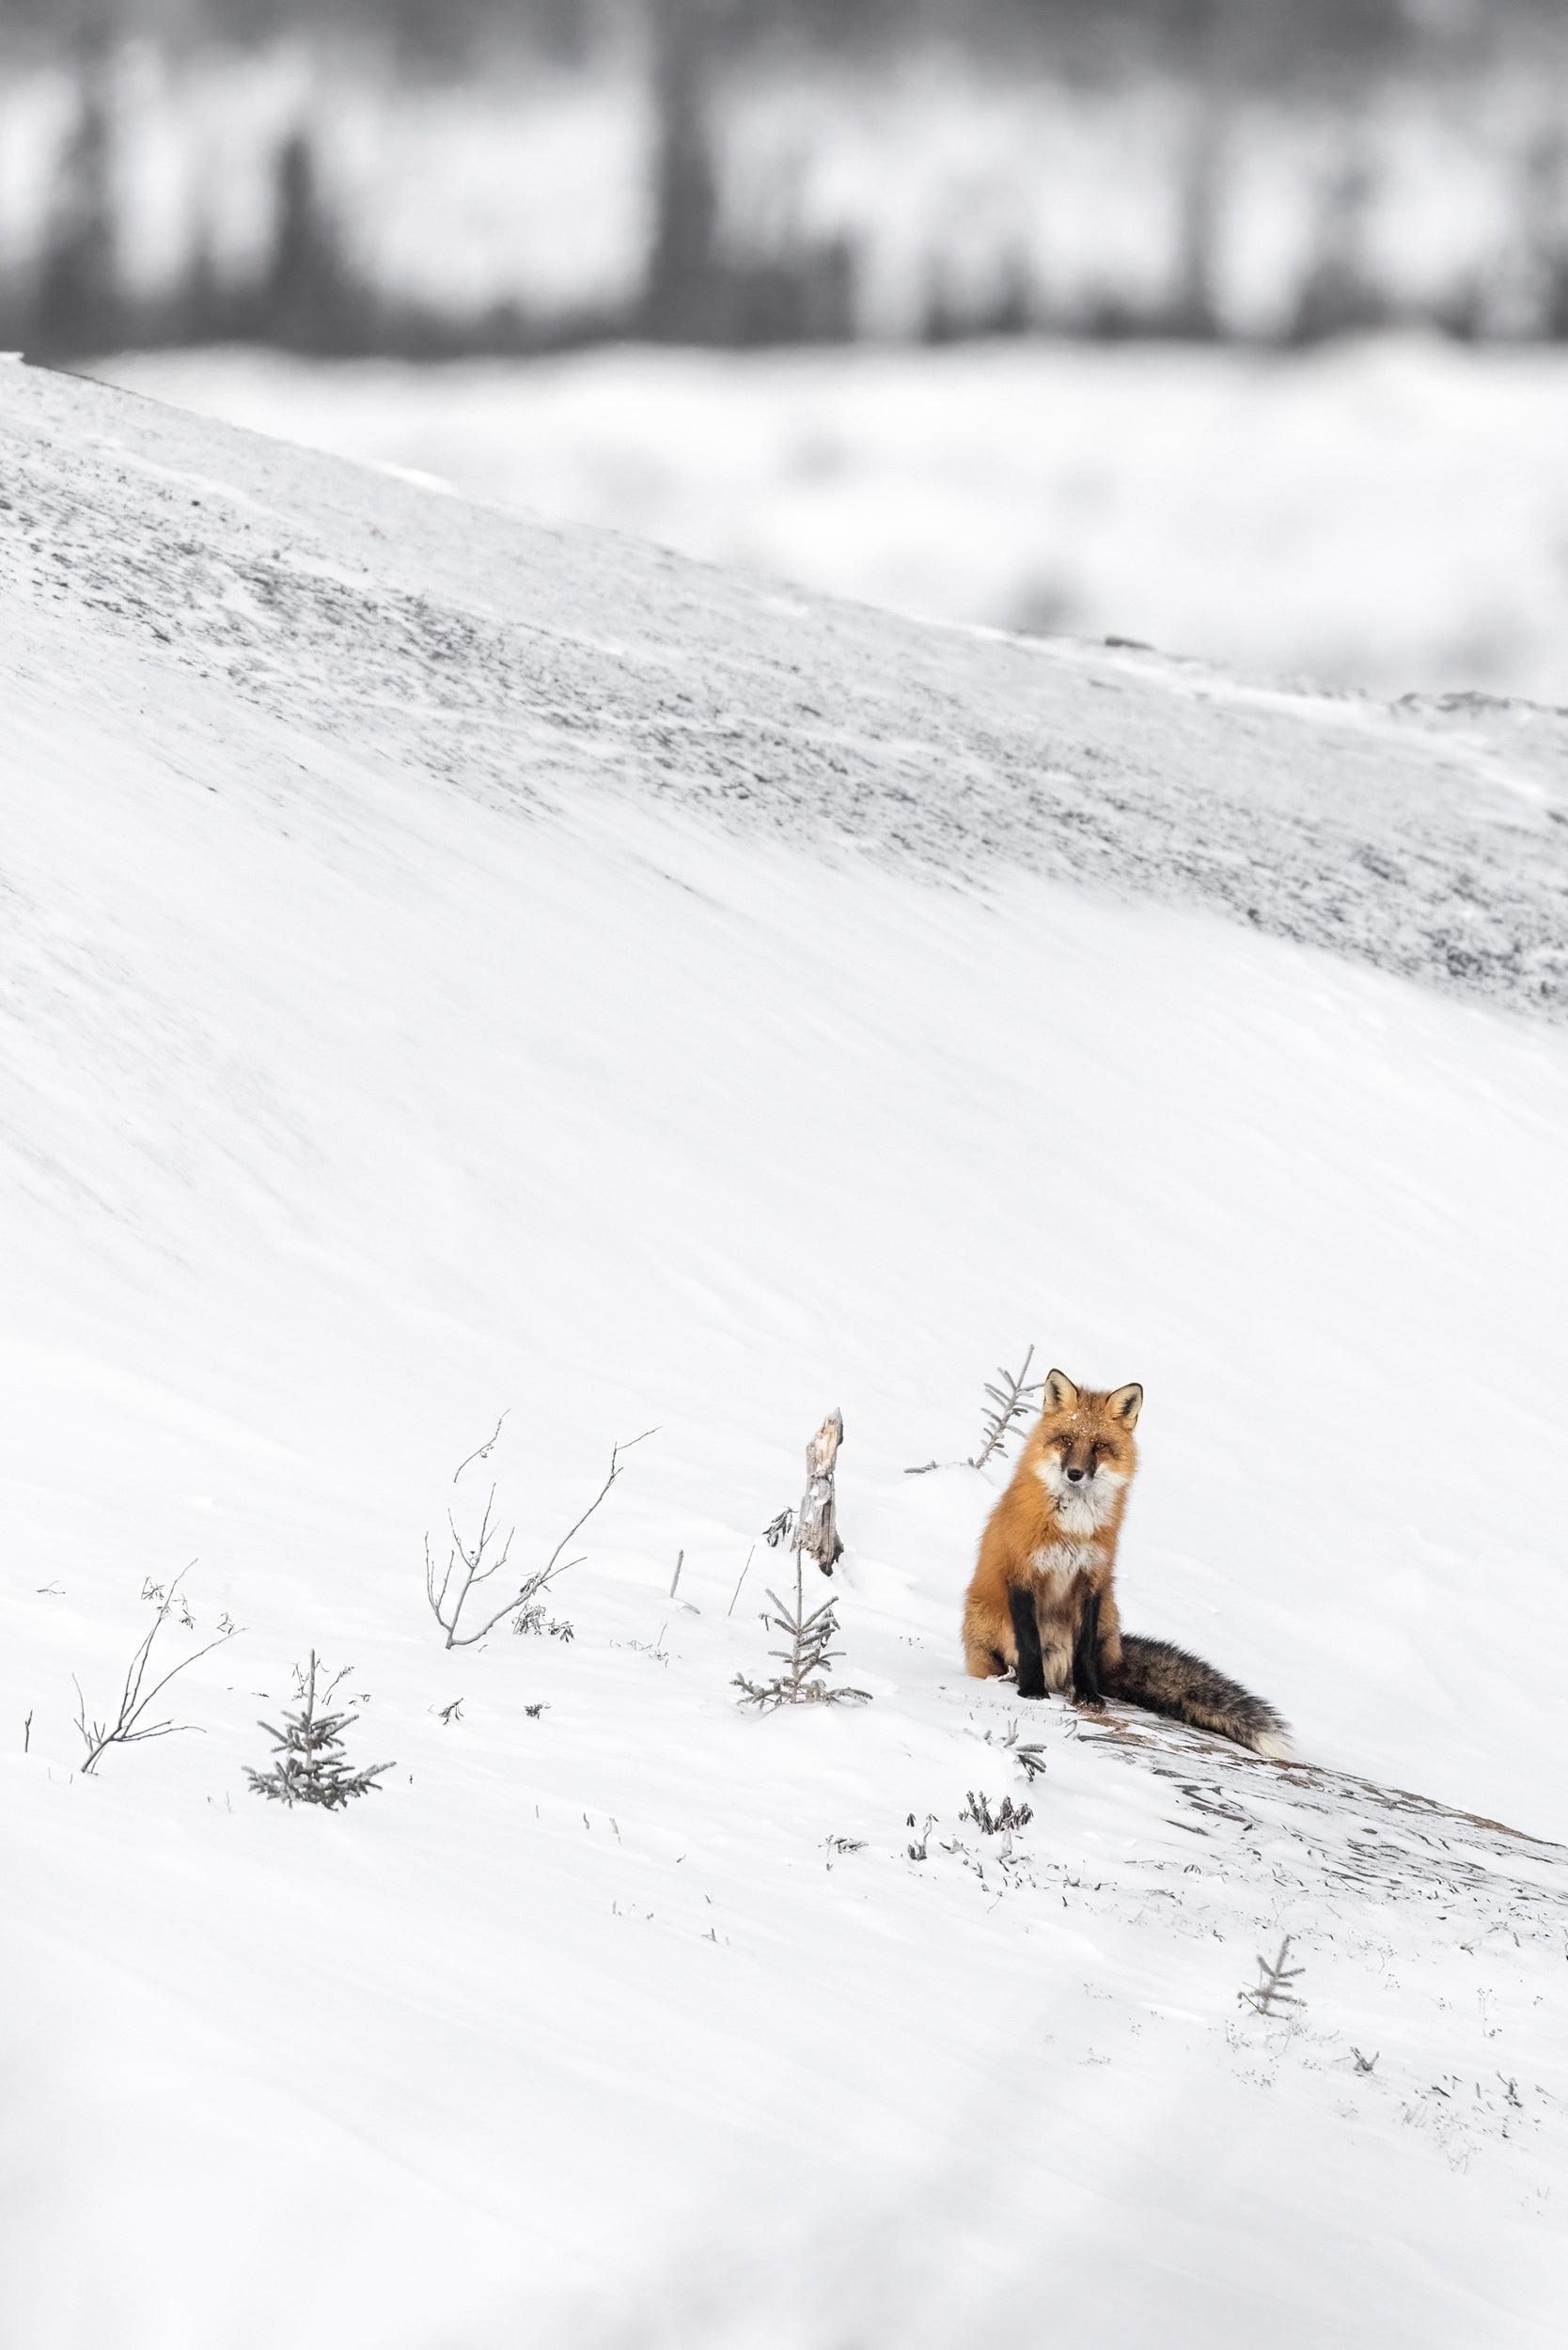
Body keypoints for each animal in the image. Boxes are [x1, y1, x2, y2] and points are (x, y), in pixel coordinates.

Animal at [961, 1369, 1291, 1761]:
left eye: (1099, 1446)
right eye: (1066, 1439)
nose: (1075, 1474)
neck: (1073, 1527)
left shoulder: (1092, 1580)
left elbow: (1084, 1651)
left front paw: (1088, 1697)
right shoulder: (1023, 1574)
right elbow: (1029, 1643)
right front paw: (1032, 1690)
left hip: (1109, 1613)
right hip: (986, 1621)